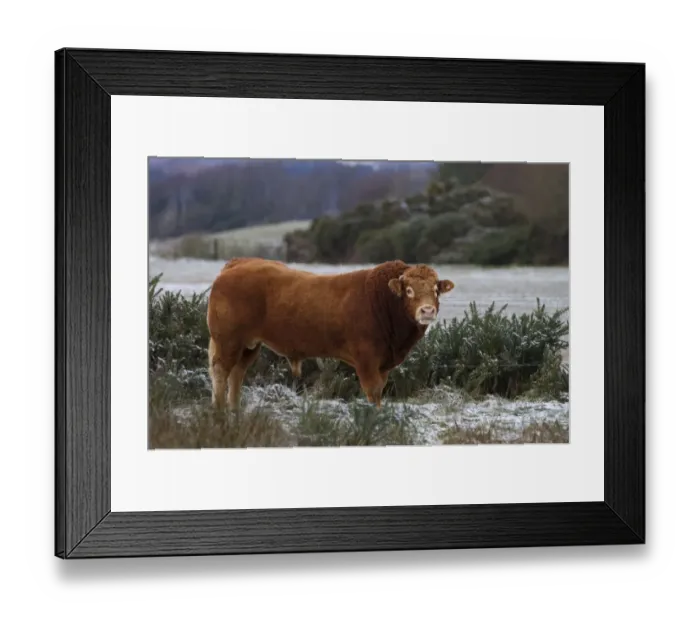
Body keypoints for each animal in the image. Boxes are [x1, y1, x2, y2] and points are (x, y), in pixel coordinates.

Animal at [206, 257, 455, 411]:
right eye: (409, 291)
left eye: (435, 290)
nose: (427, 310)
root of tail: (238, 263)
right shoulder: (366, 361)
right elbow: (373, 392)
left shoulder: (383, 364)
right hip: (228, 341)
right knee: (221, 371)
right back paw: (220, 412)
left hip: (249, 345)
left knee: (237, 373)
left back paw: (235, 411)